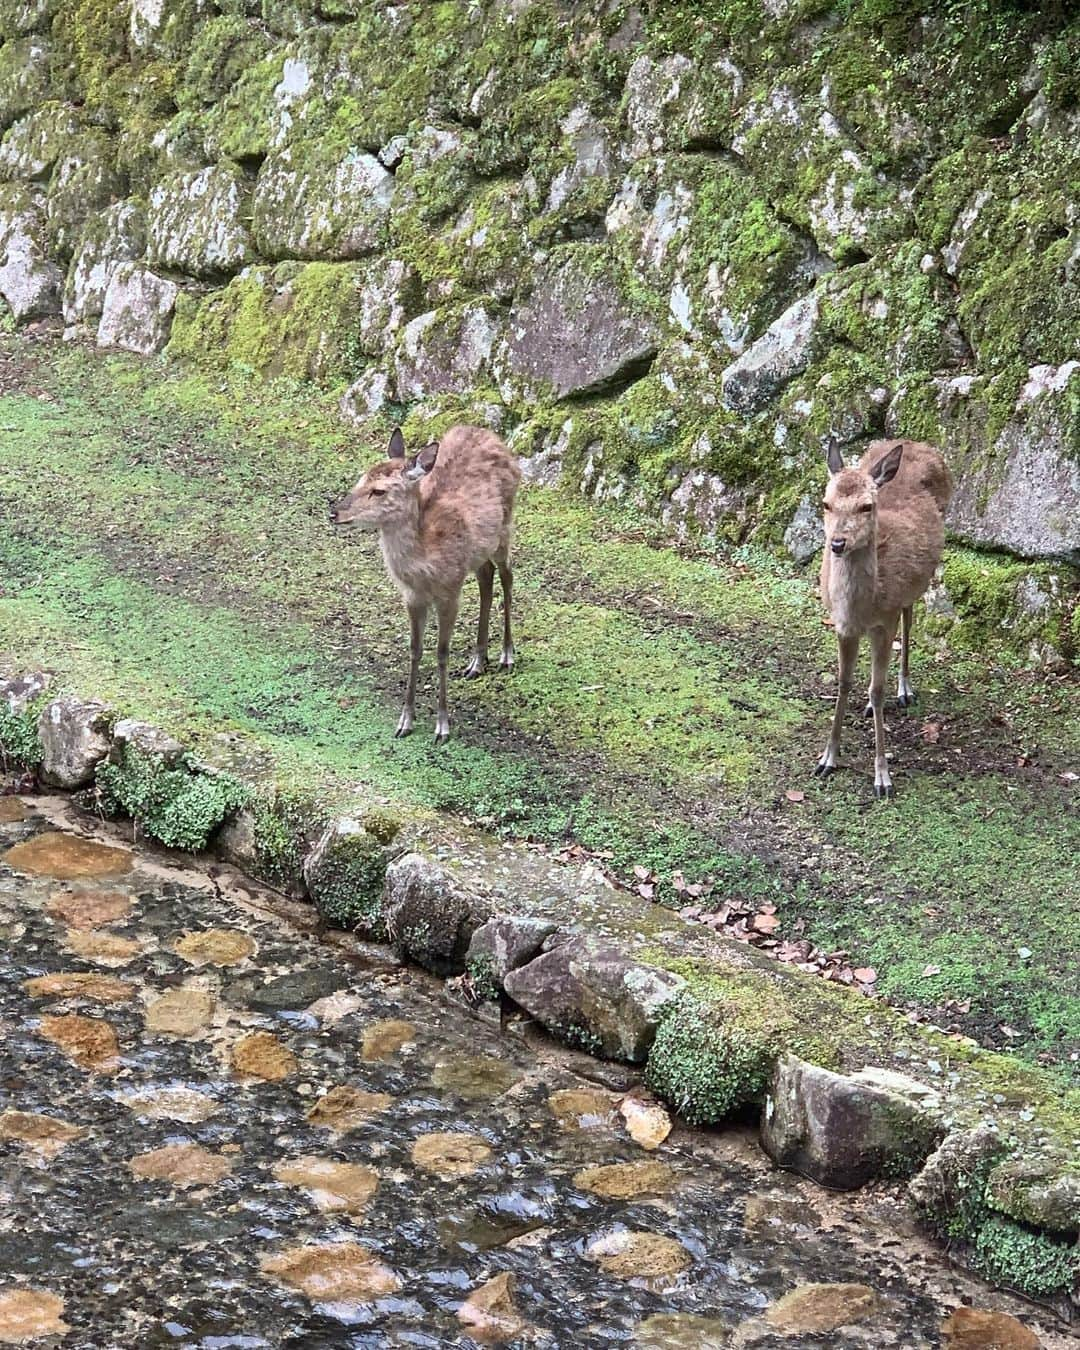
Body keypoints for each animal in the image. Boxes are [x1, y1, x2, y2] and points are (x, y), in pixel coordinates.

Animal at [330, 423, 521, 745]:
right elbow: (415, 649)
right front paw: (405, 721)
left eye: (379, 490)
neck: (425, 565)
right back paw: (476, 661)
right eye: (360, 479)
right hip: (479, 553)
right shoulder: (412, 597)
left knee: (507, 576)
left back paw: (506, 655)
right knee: (486, 577)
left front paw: (442, 726)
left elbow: (441, 653)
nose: (335, 511)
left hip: (505, 528)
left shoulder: (450, 592)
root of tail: (490, 436)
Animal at [820, 437, 955, 793]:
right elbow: (844, 683)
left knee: (910, 616)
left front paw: (882, 777)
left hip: (916, 586)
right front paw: (827, 759)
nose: (837, 543)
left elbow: (877, 691)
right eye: (826, 503)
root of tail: (915, 442)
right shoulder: (843, 626)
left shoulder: (885, 618)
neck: (863, 605)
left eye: (867, 506)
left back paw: (905, 689)